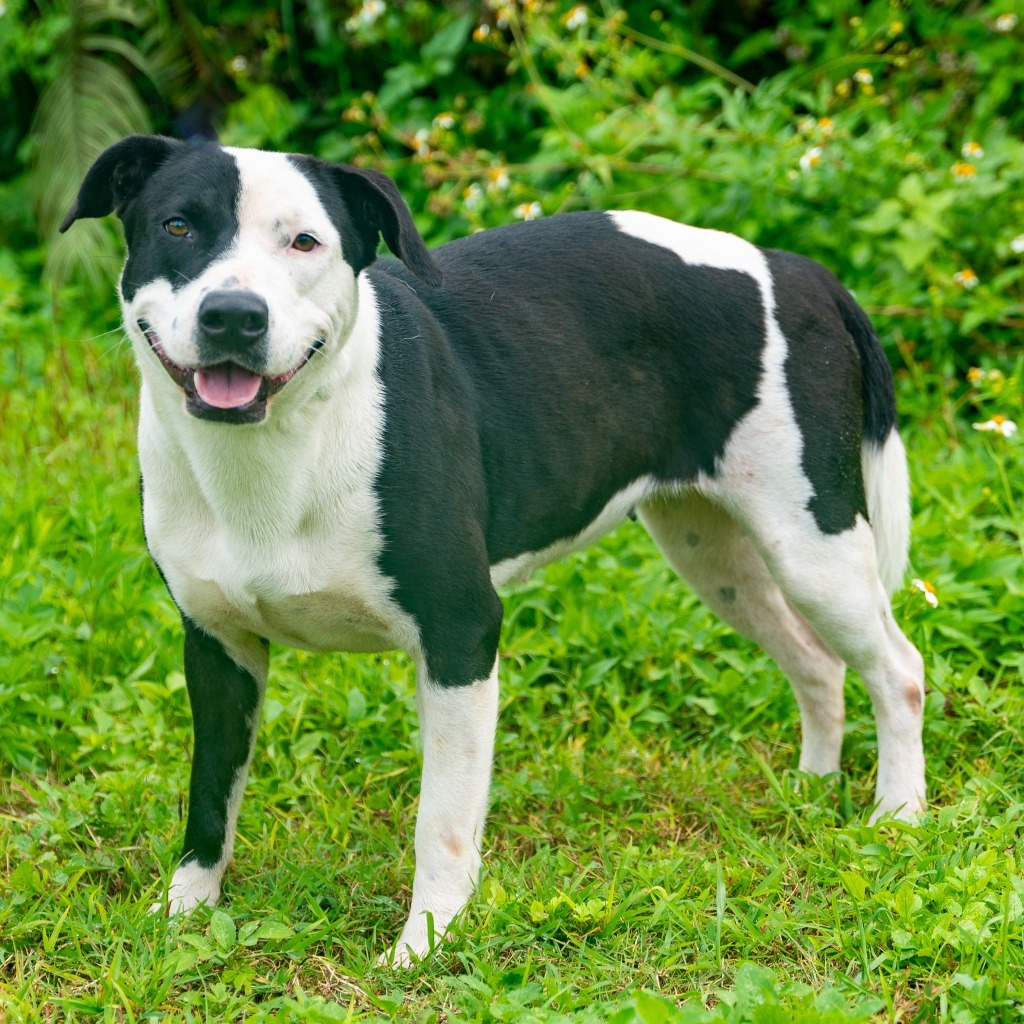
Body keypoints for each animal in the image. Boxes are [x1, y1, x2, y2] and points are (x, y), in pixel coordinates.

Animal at [64, 138, 929, 966]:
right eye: (178, 226)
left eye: (305, 242)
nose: (233, 315)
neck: (281, 447)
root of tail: (796, 269)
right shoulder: (219, 648)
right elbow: (211, 794)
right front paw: (184, 916)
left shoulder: (461, 636)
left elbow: (441, 821)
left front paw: (426, 942)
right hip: (716, 555)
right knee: (816, 660)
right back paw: (811, 787)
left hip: (812, 544)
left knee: (899, 668)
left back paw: (899, 813)